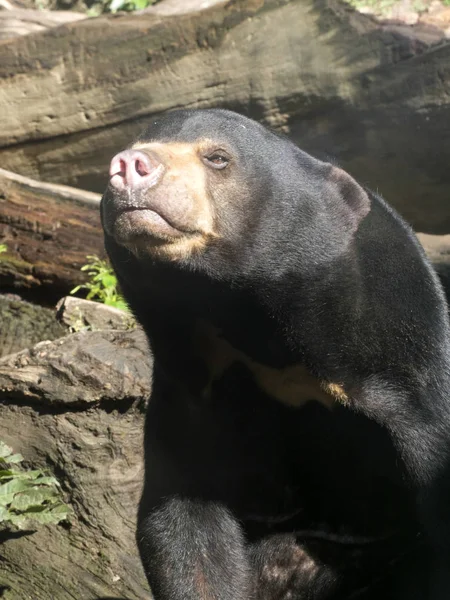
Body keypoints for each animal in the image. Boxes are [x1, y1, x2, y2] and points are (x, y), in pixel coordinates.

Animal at [100, 109, 450, 600]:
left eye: (217, 157)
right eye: (136, 146)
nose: (129, 165)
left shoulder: (409, 384)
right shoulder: (192, 384)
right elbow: (185, 518)